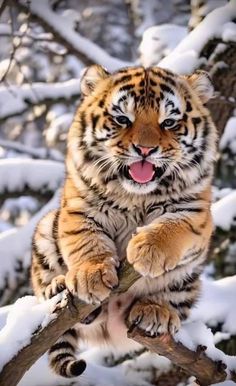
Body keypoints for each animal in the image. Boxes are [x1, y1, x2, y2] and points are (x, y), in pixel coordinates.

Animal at [31, 65, 218, 378]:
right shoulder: (78, 207)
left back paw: (155, 312)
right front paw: (91, 276)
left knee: (172, 303)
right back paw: (59, 289)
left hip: (189, 277)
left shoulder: (194, 212)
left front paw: (148, 251)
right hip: (46, 230)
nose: (145, 149)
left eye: (169, 122)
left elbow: (172, 227)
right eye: (122, 119)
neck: (135, 195)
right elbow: (87, 240)